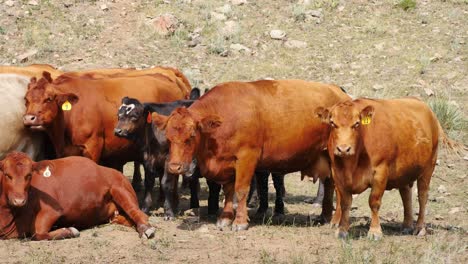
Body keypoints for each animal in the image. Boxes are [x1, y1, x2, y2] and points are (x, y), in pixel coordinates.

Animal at [0, 151, 156, 239]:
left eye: (29, 175)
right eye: (7, 175)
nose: (19, 200)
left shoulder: (52, 211)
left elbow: (38, 233)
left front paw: (70, 230)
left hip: (120, 190)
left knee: (139, 214)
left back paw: (146, 229)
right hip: (114, 215)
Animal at [152, 79, 350, 230]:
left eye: (192, 135)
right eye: (168, 136)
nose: (174, 167)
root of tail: (341, 95)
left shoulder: (246, 158)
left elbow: (240, 190)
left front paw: (239, 222)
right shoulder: (228, 163)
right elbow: (228, 190)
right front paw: (225, 218)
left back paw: (335, 221)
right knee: (329, 185)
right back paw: (324, 216)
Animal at [314, 98, 450, 240]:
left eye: (356, 124)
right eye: (332, 123)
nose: (343, 149)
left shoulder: (380, 172)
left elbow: (374, 201)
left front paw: (375, 231)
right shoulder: (338, 174)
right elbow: (345, 202)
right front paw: (342, 230)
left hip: (428, 168)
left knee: (423, 196)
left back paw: (420, 227)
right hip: (404, 171)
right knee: (406, 195)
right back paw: (407, 225)